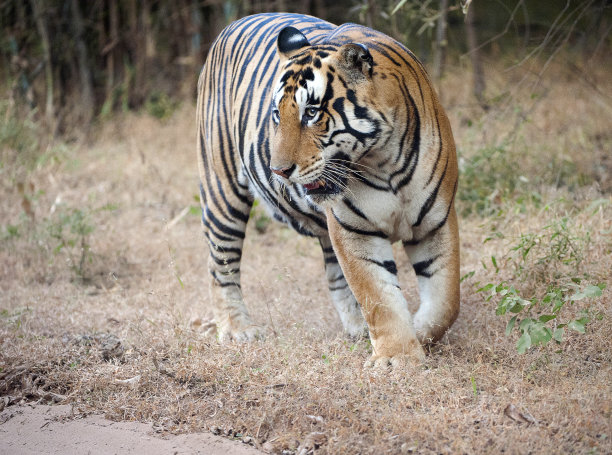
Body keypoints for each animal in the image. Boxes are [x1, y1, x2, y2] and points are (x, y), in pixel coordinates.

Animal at [196, 11, 460, 366]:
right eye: (277, 114)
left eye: (311, 113)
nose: (279, 170)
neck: (384, 161)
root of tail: (233, 23)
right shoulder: (354, 231)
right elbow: (379, 298)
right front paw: (396, 359)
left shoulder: (436, 223)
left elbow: (446, 301)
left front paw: (417, 332)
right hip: (222, 194)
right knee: (221, 265)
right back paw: (238, 331)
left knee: (336, 277)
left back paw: (357, 327)